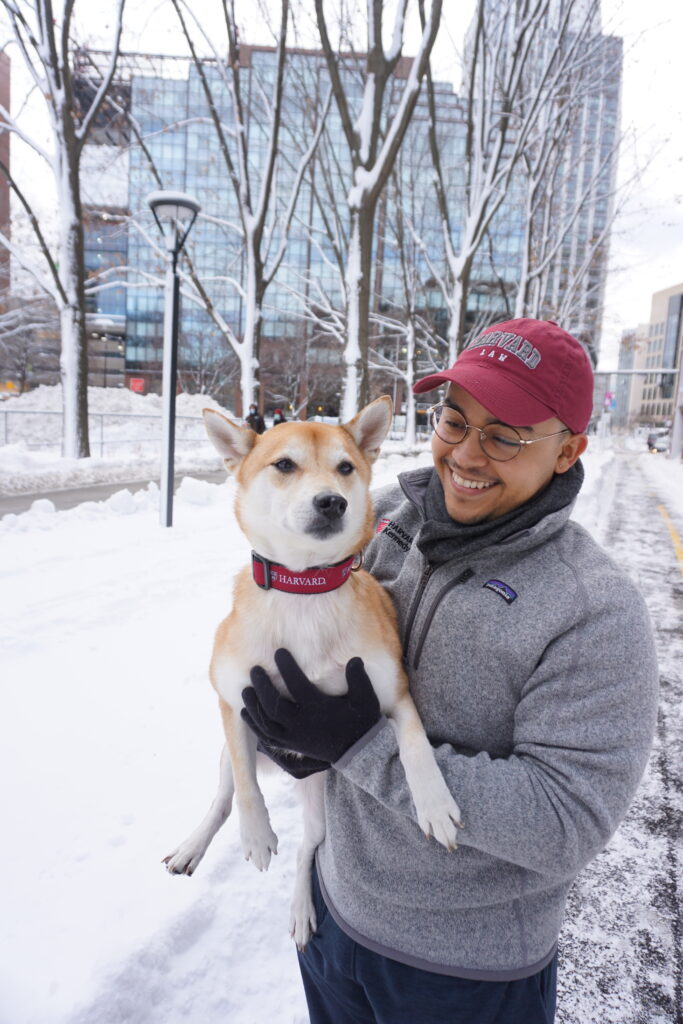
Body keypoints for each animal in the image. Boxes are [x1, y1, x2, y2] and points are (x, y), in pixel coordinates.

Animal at [163, 395, 462, 946]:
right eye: (284, 465)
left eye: (346, 468)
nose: (331, 502)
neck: (304, 590)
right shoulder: (234, 698)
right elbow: (246, 789)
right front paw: (257, 833)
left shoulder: (392, 695)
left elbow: (414, 745)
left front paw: (434, 804)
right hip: (233, 745)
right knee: (224, 795)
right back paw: (194, 845)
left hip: (322, 801)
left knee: (310, 849)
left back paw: (302, 908)